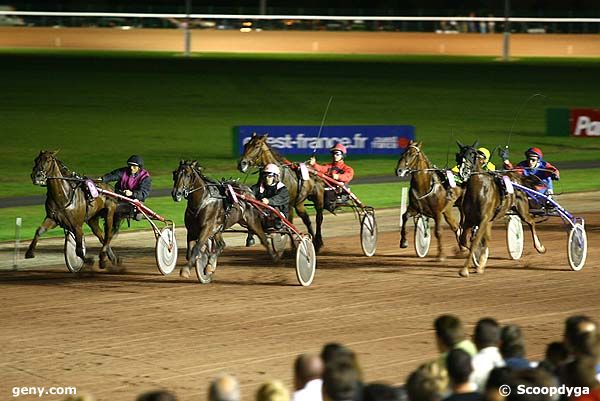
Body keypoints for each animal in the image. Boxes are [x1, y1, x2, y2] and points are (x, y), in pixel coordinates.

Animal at [458, 144, 548, 278]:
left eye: (473, 154)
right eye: (459, 155)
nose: (464, 171)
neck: (479, 189)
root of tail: (516, 177)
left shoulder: (483, 220)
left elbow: (475, 242)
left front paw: (465, 270)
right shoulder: (470, 219)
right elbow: (465, 241)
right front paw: (479, 263)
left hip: (522, 209)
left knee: (531, 222)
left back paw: (540, 247)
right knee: (487, 238)